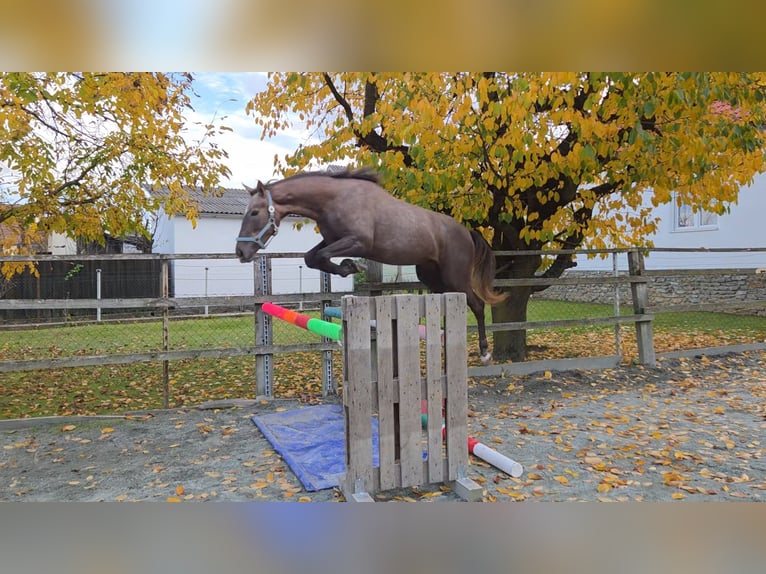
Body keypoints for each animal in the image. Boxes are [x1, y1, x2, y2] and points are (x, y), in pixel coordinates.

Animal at [235, 167, 506, 364]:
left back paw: (485, 352)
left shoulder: (358, 242)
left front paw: (352, 267)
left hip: (455, 277)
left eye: (254, 213)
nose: (240, 252)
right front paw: (348, 267)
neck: (332, 200)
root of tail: (467, 231)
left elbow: (322, 256)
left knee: (478, 305)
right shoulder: (333, 239)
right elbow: (312, 258)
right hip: (432, 276)